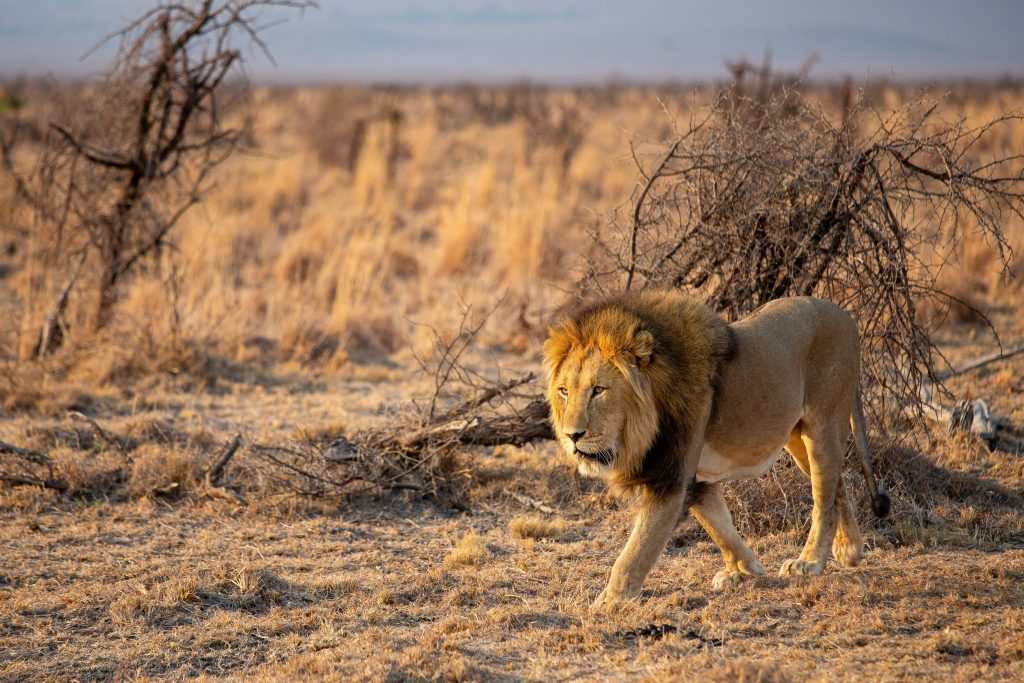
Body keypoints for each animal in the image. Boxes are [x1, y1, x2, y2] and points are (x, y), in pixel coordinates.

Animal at [544, 290, 888, 610]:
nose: (572, 435)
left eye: (598, 390)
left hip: (823, 425)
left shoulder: (672, 476)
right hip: (796, 437)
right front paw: (744, 570)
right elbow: (719, 526)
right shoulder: (696, 477)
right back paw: (850, 549)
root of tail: (845, 316)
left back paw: (811, 561)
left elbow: (638, 548)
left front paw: (609, 601)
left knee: (823, 497)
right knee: (836, 485)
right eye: (563, 391)